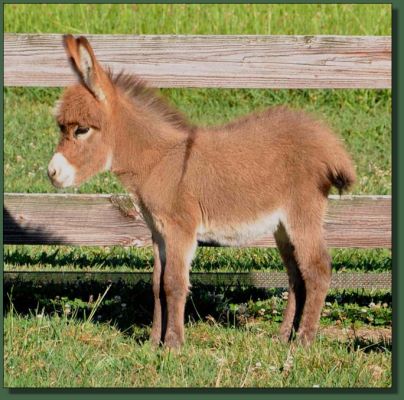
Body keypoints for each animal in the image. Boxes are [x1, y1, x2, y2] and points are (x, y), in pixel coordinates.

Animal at [49, 36, 356, 348]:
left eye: (81, 130)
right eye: (62, 128)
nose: (52, 173)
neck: (160, 161)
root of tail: (326, 140)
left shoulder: (180, 230)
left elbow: (173, 283)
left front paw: (173, 344)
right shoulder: (158, 232)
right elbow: (156, 284)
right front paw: (153, 343)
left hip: (302, 214)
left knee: (317, 269)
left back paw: (304, 340)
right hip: (282, 226)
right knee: (296, 275)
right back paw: (283, 337)